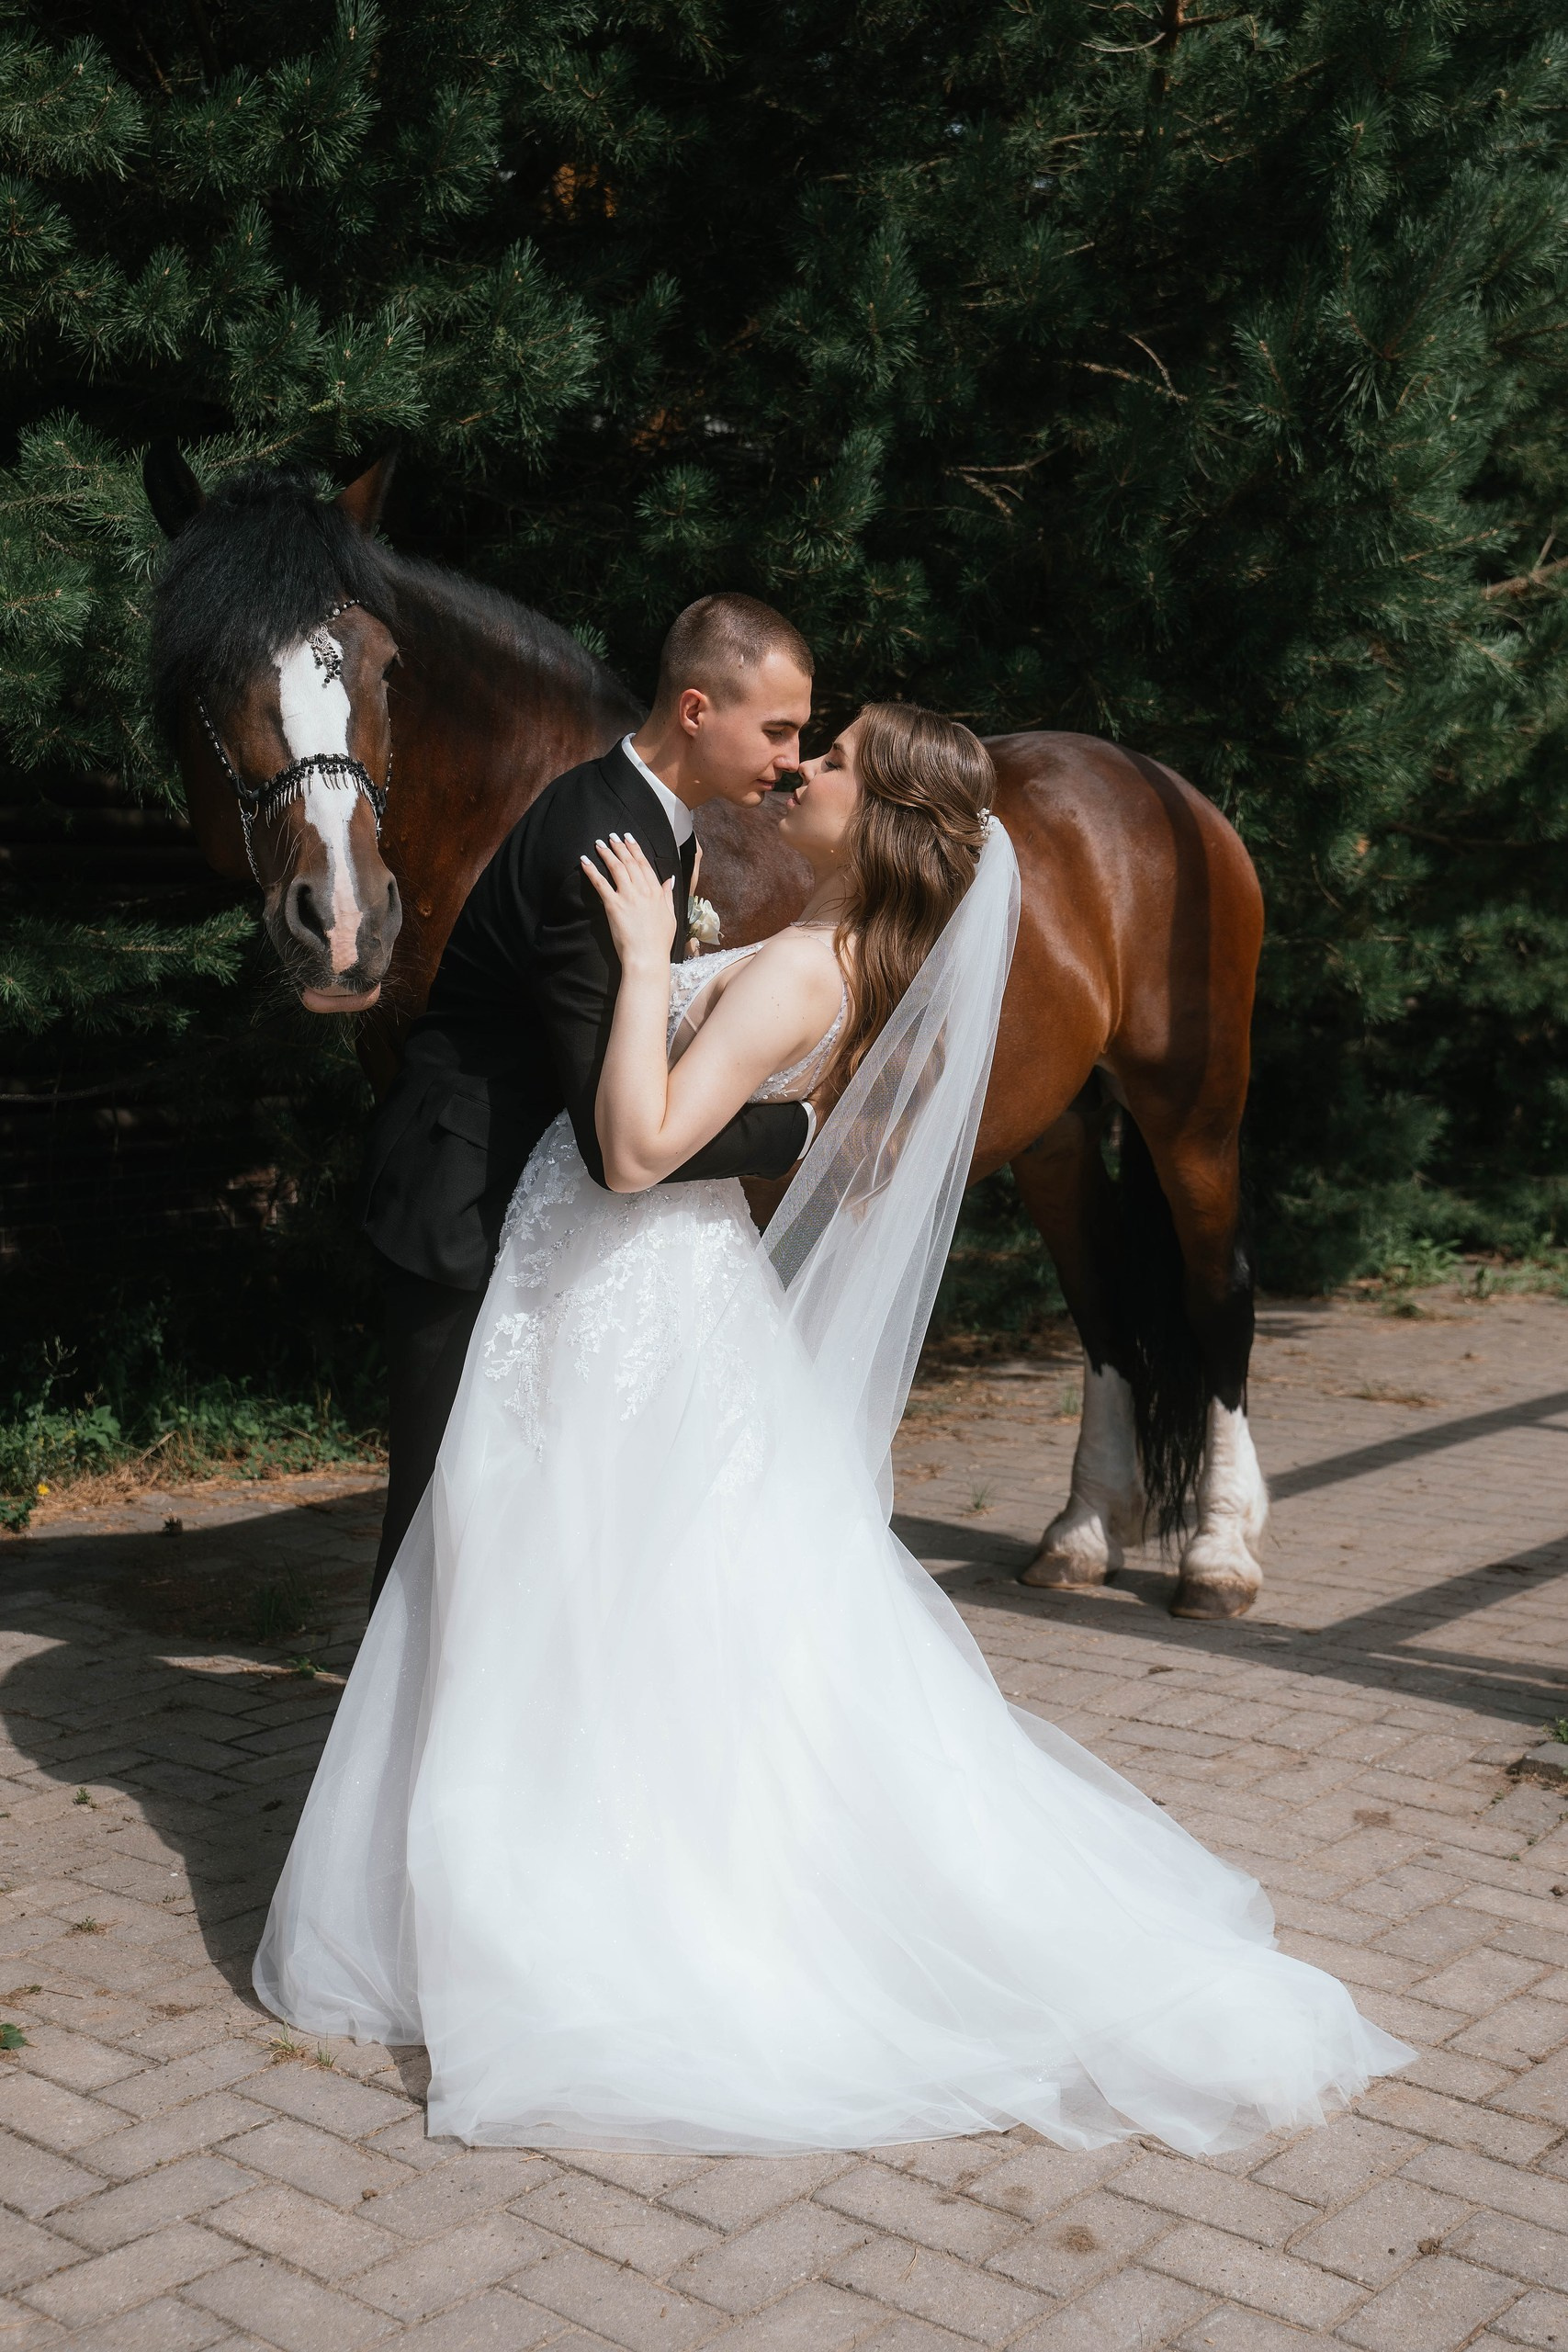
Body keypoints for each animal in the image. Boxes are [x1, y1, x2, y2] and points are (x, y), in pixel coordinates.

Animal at [144, 445, 1268, 1620]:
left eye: (382, 665)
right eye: (202, 676)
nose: (343, 920)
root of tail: (1160, 789)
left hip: (1194, 1111)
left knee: (1215, 1292)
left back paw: (1218, 1555)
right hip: (1054, 1131)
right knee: (1099, 1299)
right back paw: (1082, 1533)